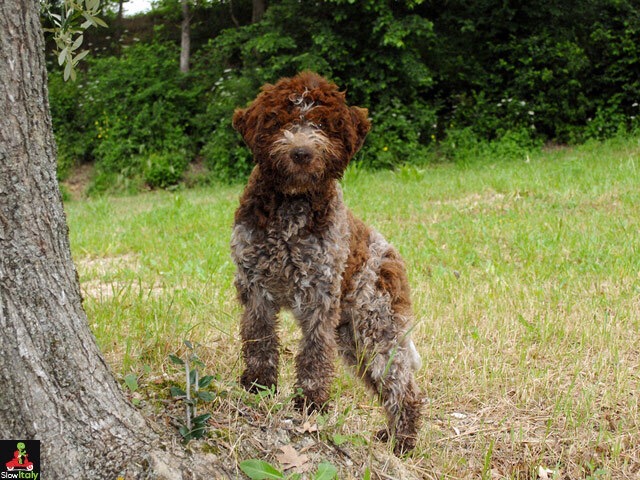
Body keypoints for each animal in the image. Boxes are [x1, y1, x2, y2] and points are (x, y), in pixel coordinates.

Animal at [232, 71, 422, 454]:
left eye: (321, 124)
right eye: (282, 122)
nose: (301, 153)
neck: (291, 206)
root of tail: (393, 255)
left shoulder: (319, 295)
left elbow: (314, 353)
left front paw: (310, 403)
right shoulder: (256, 287)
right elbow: (259, 340)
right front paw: (258, 387)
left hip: (376, 325)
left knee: (403, 385)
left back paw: (403, 442)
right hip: (352, 337)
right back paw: (393, 436)